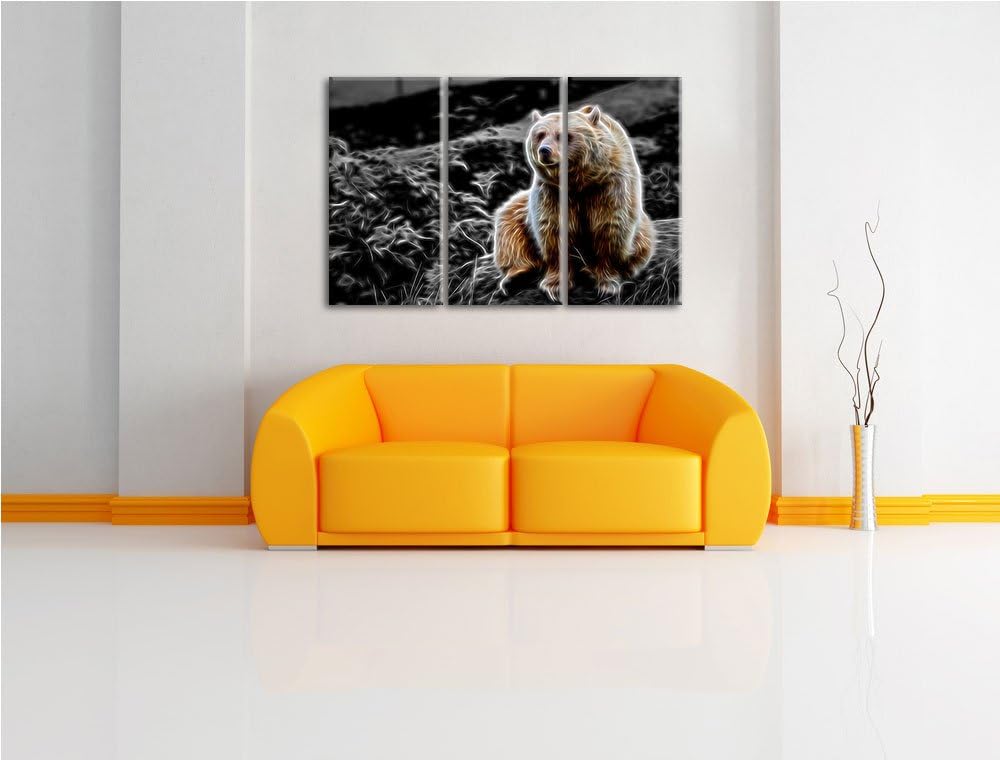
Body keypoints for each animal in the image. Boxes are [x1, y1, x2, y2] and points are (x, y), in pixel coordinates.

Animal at [493, 105, 655, 299]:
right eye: (540, 135)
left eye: (563, 135)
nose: (544, 150)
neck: (579, 181)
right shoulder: (552, 193)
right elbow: (554, 233)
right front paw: (554, 284)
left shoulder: (608, 188)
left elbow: (609, 229)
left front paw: (607, 283)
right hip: (519, 213)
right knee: (509, 230)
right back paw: (516, 276)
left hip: (642, 232)